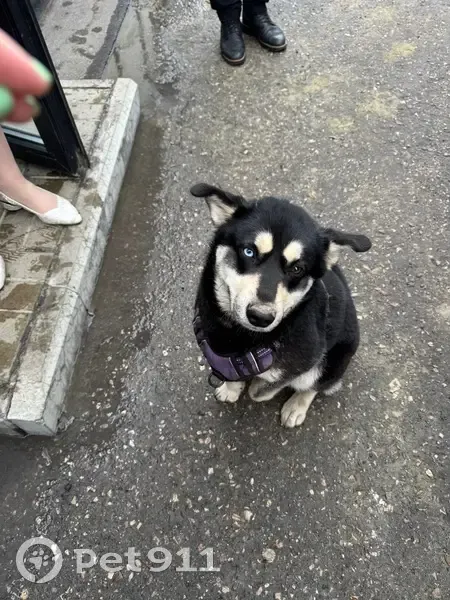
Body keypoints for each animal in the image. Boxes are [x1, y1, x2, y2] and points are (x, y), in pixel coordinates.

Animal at [191, 183, 371, 428]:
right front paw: (232, 388)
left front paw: (256, 384)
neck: (239, 336)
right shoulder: (218, 354)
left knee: (314, 386)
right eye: (249, 251)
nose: (260, 317)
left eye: (297, 268)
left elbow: (263, 389)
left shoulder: (306, 360)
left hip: (332, 362)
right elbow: (230, 373)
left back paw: (296, 405)